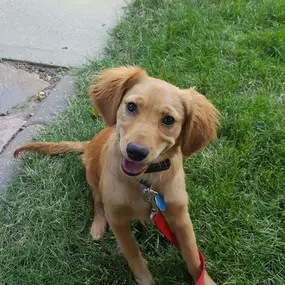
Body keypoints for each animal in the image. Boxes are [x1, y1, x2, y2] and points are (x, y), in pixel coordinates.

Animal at [14, 66, 219, 284]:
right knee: (97, 202)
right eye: (131, 107)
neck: (146, 183)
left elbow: (192, 254)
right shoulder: (116, 218)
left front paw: (204, 279)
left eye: (168, 120)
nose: (135, 151)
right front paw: (145, 279)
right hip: (94, 179)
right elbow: (132, 252)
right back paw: (97, 226)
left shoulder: (180, 216)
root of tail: (89, 143)